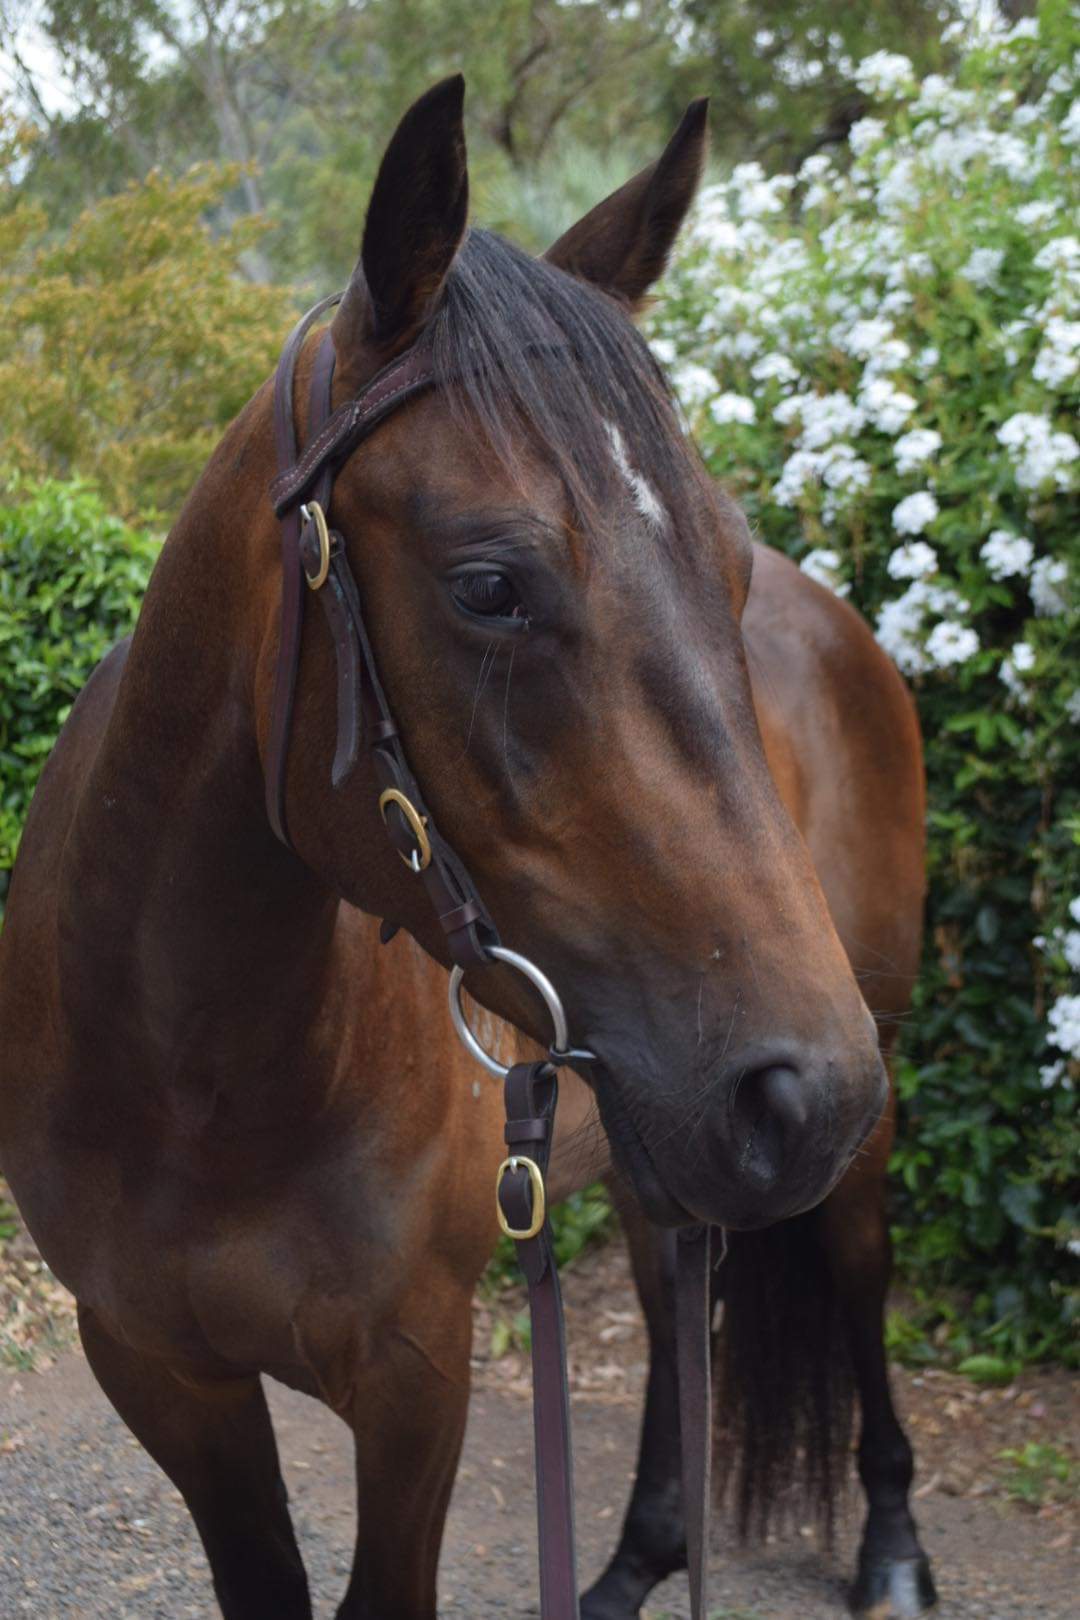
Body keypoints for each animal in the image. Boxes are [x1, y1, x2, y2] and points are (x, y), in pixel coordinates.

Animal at [0, 76, 935, 1619]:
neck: (198, 1075)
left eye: (729, 568)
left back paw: (895, 1548)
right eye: (490, 584)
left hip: (844, 1125)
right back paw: (633, 1563)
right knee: (678, 1289)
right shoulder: (164, 1377)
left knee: (858, 1282)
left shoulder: (414, 1382)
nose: (805, 1087)